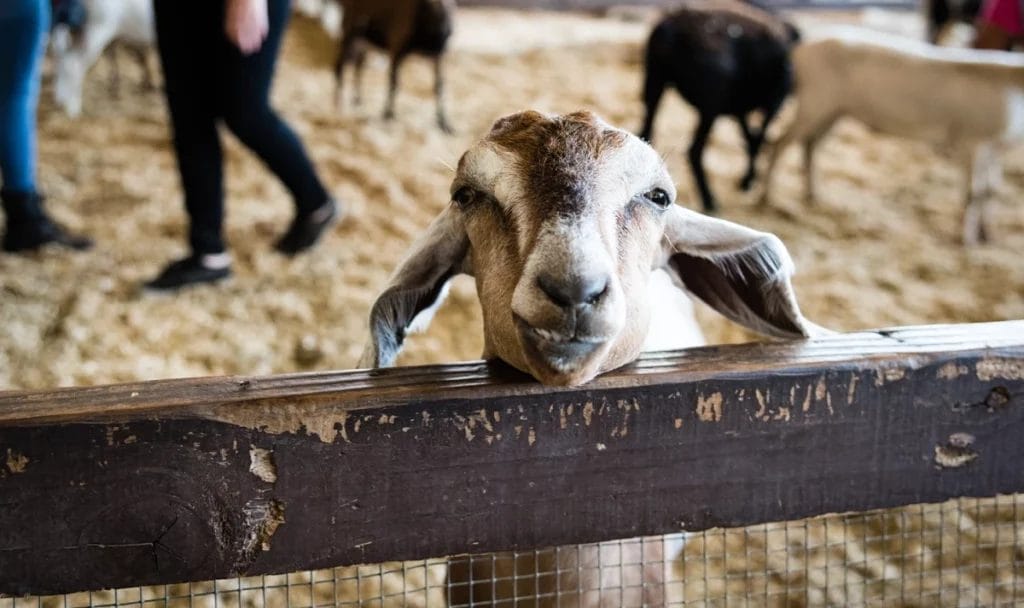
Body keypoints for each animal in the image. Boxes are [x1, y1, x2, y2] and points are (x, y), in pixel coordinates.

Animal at [333, 0, 456, 134]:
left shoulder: (438, 55)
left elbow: (439, 85)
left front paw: (444, 123)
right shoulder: (396, 47)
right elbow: (394, 82)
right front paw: (387, 116)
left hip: (364, 42)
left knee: (359, 66)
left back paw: (357, 99)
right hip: (351, 32)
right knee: (339, 64)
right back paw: (338, 103)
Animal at [638, 0, 799, 213]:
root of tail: (670, 28)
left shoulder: (740, 110)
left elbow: (750, 139)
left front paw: (746, 180)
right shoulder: (772, 105)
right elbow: (757, 139)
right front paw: (748, 181)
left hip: (655, 84)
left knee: (647, 133)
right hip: (710, 107)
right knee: (694, 150)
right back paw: (709, 200)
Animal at [758, 26, 1024, 245]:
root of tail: (801, 49)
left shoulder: (996, 146)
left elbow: (991, 190)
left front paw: (988, 235)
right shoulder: (972, 140)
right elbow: (973, 193)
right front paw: (966, 241)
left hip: (834, 110)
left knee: (811, 144)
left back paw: (813, 196)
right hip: (814, 102)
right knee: (779, 143)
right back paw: (767, 199)